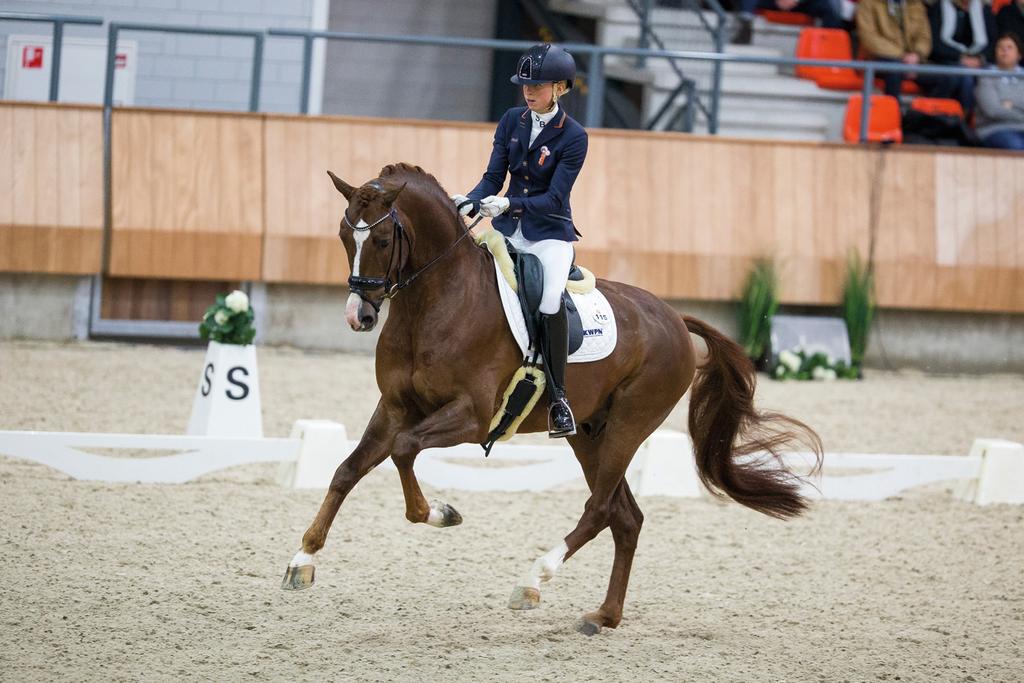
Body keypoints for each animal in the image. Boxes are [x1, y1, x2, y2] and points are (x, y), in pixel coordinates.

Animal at [282, 162, 823, 634]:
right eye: (342, 234)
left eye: (381, 239)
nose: (359, 316)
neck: (435, 301)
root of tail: (674, 317)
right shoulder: (394, 408)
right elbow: (348, 469)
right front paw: (302, 560)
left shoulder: (471, 417)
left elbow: (404, 451)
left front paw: (440, 514)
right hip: (588, 433)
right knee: (626, 518)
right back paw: (603, 617)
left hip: (628, 426)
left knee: (600, 509)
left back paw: (533, 582)